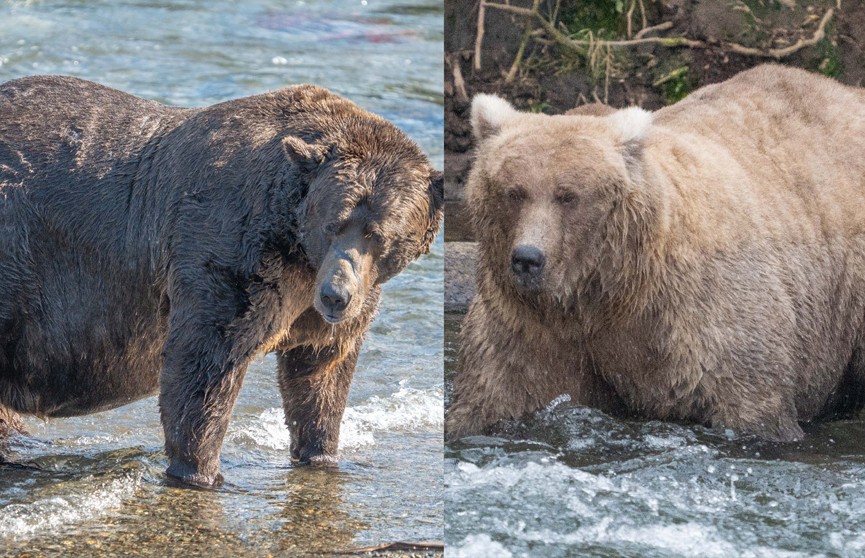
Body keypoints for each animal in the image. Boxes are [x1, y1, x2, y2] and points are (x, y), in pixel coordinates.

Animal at [0, 74, 442, 486]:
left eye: (378, 235)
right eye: (333, 223)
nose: (336, 295)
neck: (297, 250)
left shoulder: (326, 304)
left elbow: (321, 375)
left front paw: (322, 454)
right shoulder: (229, 253)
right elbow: (205, 367)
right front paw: (201, 471)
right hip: (19, 258)